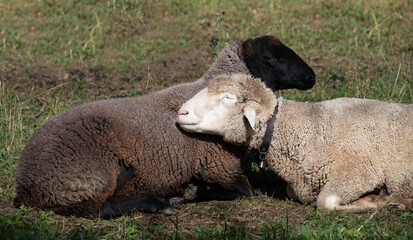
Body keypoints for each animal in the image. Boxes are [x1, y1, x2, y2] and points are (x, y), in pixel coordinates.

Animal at [13, 36, 316, 219]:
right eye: (271, 59)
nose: (312, 76)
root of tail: (24, 185)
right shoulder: (220, 166)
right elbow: (245, 191)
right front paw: (192, 192)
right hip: (90, 177)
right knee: (100, 208)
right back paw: (159, 204)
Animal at [177, 73, 412, 212]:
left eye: (227, 98)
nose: (181, 112)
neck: (310, 130)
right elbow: (295, 193)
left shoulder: (360, 171)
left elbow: (325, 202)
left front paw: (376, 201)